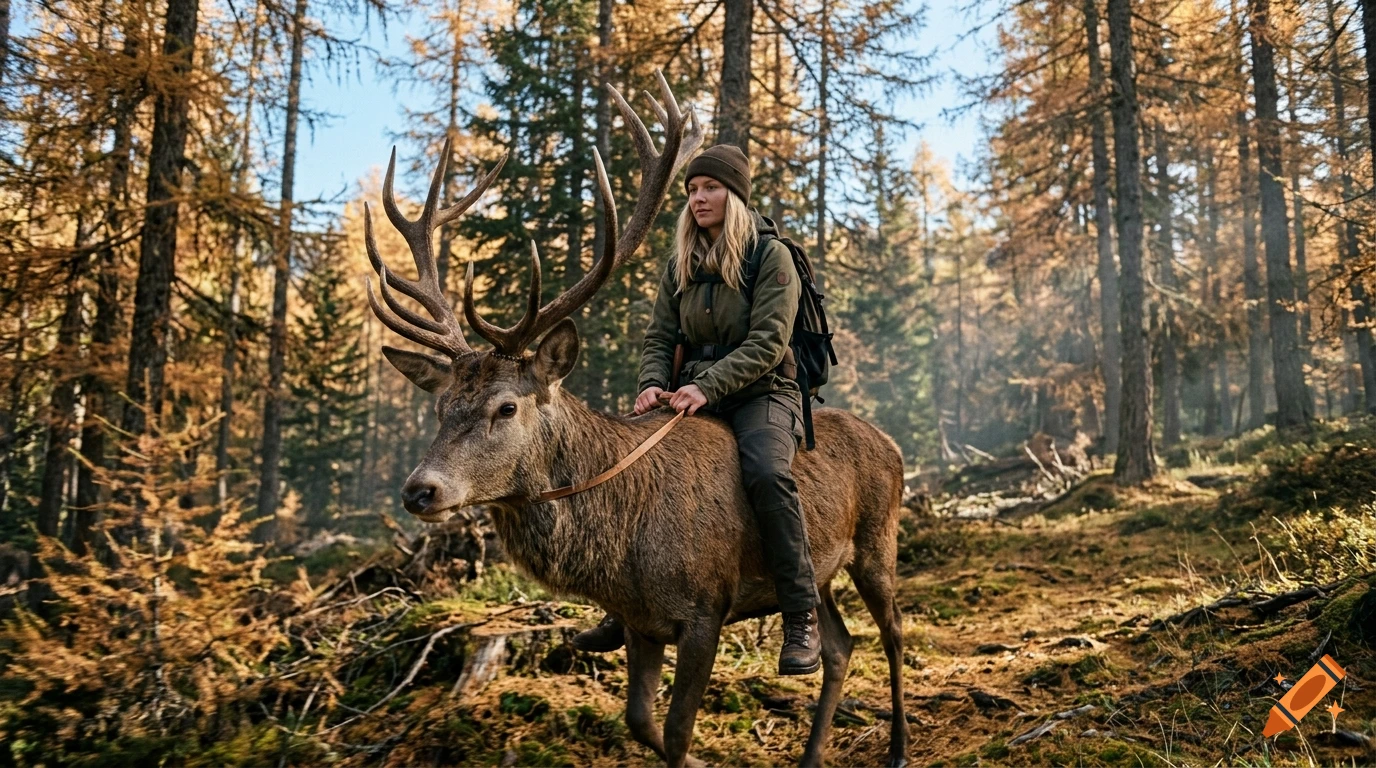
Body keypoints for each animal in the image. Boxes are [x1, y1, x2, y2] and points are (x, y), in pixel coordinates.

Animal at [364, 72, 909, 768]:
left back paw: (898, 745)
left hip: (877, 541)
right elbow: (641, 723)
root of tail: (892, 444)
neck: (620, 554)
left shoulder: (706, 607)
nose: (420, 490)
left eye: (505, 406)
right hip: (822, 574)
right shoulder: (641, 623)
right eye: (440, 408)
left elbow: (675, 732)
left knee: (893, 634)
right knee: (840, 648)